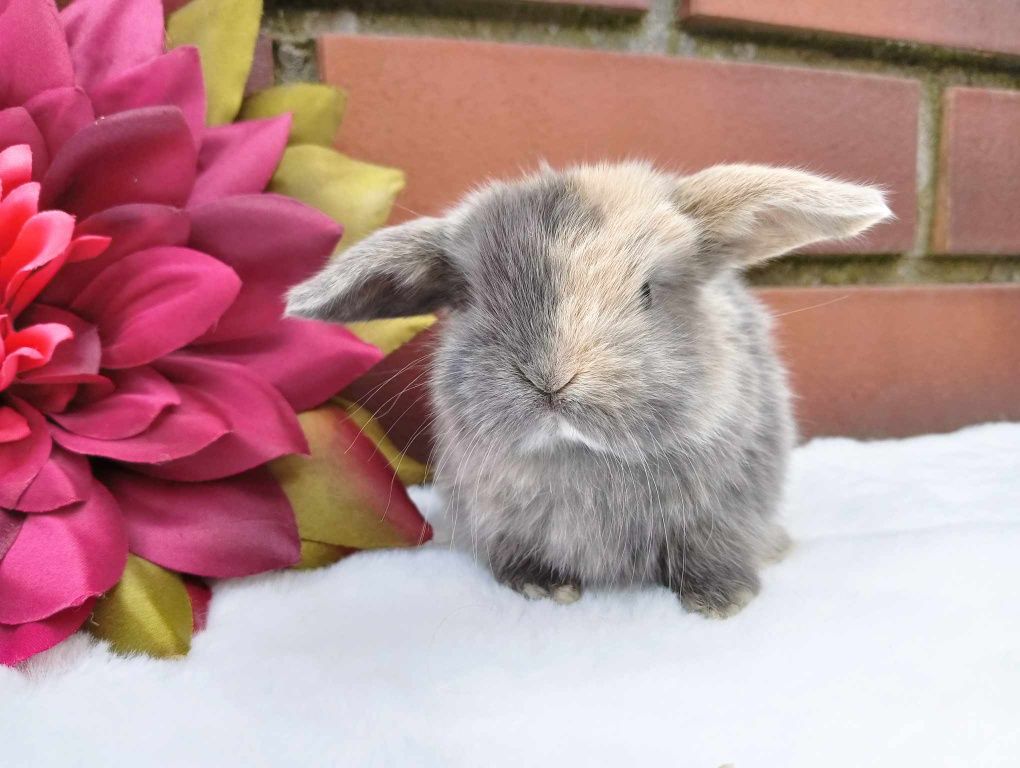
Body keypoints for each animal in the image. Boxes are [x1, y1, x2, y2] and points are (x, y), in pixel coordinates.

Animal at [285, 162, 885, 616]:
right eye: (473, 301)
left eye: (648, 291)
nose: (552, 378)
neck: (581, 456)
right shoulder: (500, 523)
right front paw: (545, 587)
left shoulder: (724, 515)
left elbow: (710, 555)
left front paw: (722, 600)